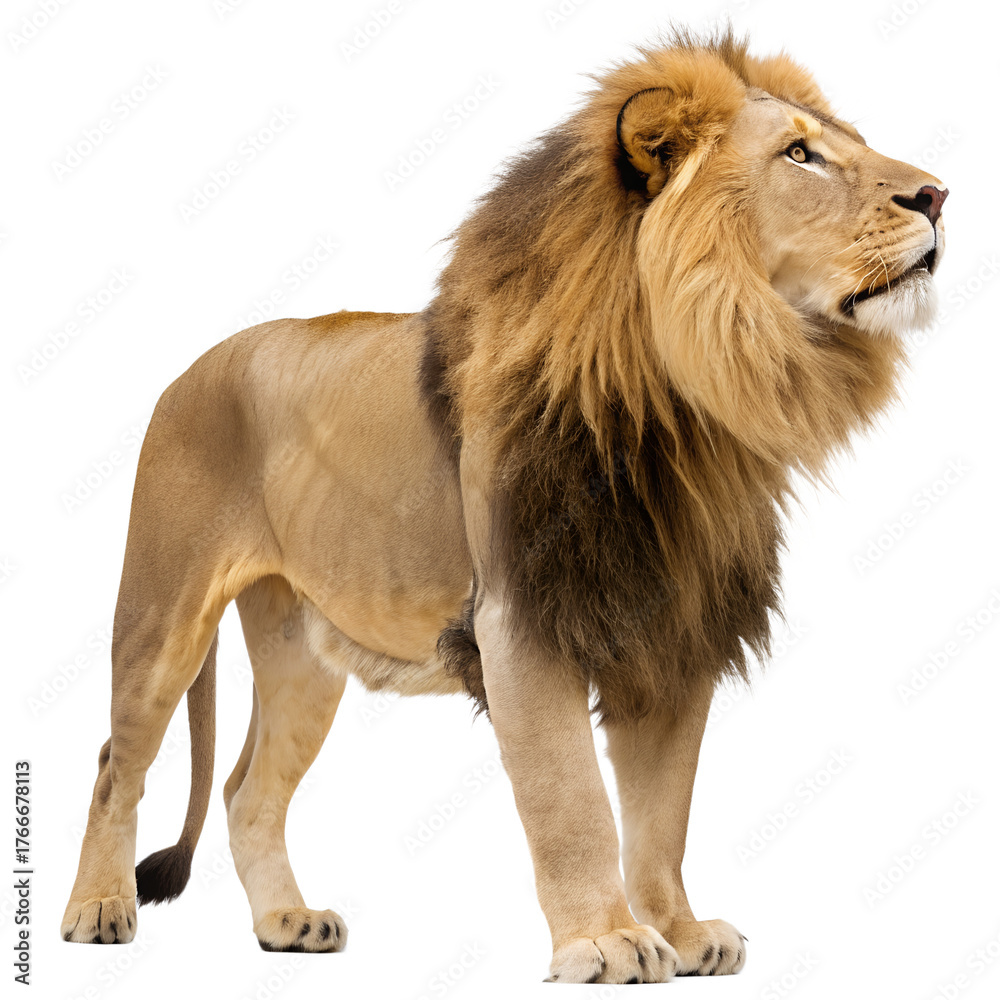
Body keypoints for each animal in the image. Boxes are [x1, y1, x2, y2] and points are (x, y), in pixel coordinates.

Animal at [62, 29, 947, 984]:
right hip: (163, 614)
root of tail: (194, 364)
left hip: (302, 652)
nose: (939, 195)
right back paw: (98, 909)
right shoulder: (522, 622)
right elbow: (572, 800)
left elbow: (662, 814)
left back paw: (286, 923)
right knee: (115, 763)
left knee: (245, 791)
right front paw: (606, 940)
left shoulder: (671, 631)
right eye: (800, 154)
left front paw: (677, 930)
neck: (685, 399)